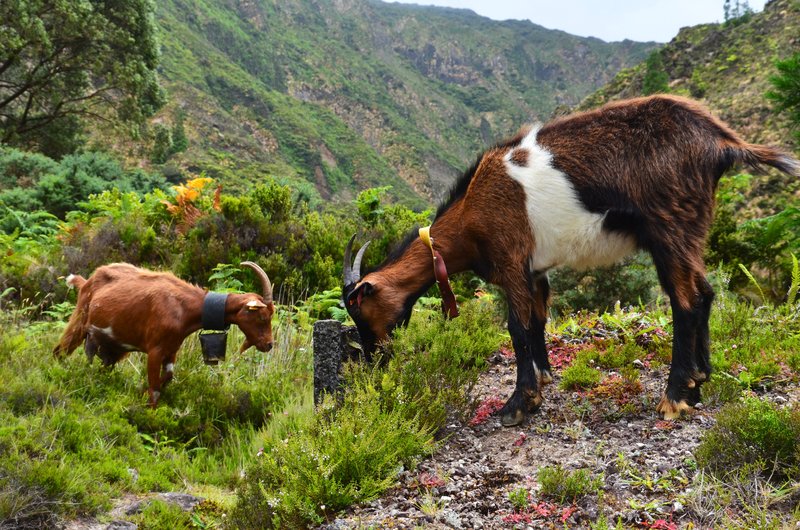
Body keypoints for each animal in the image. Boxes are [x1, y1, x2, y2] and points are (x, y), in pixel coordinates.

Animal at [53, 262, 275, 407]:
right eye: (262, 317)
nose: (269, 344)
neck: (185, 308)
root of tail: (87, 281)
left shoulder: (171, 350)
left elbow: (167, 377)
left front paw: (140, 392)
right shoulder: (154, 350)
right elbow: (155, 390)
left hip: (113, 346)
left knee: (102, 366)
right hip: (80, 321)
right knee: (59, 351)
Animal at [343, 95, 800, 427]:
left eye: (358, 307)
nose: (373, 359)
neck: (472, 211)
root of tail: (720, 142)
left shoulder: (511, 260)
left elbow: (517, 327)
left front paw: (518, 404)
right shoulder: (536, 269)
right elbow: (538, 320)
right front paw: (544, 378)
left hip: (671, 225)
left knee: (686, 300)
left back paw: (674, 397)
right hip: (692, 228)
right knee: (704, 293)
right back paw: (698, 382)